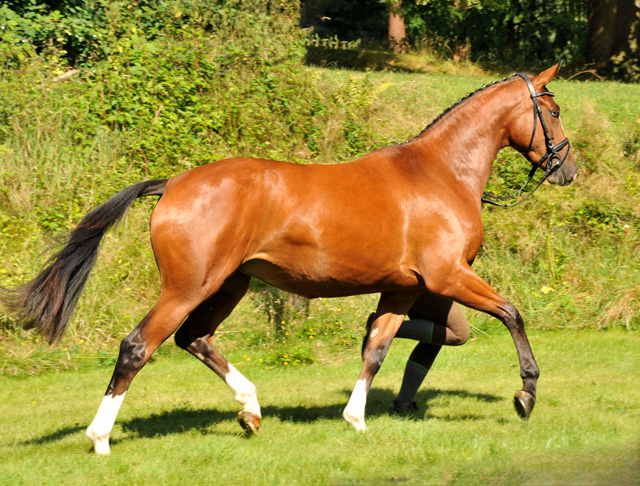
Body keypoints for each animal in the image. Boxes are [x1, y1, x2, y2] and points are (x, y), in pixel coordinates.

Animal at [5, 62, 576, 454]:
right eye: (552, 110)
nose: (566, 168)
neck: (438, 172)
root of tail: (174, 185)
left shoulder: (403, 288)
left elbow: (377, 347)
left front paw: (355, 418)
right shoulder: (448, 277)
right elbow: (512, 314)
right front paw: (525, 395)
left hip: (229, 285)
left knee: (195, 338)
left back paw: (251, 410)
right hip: (188, 287)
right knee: (138, 346)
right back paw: (101, 437)